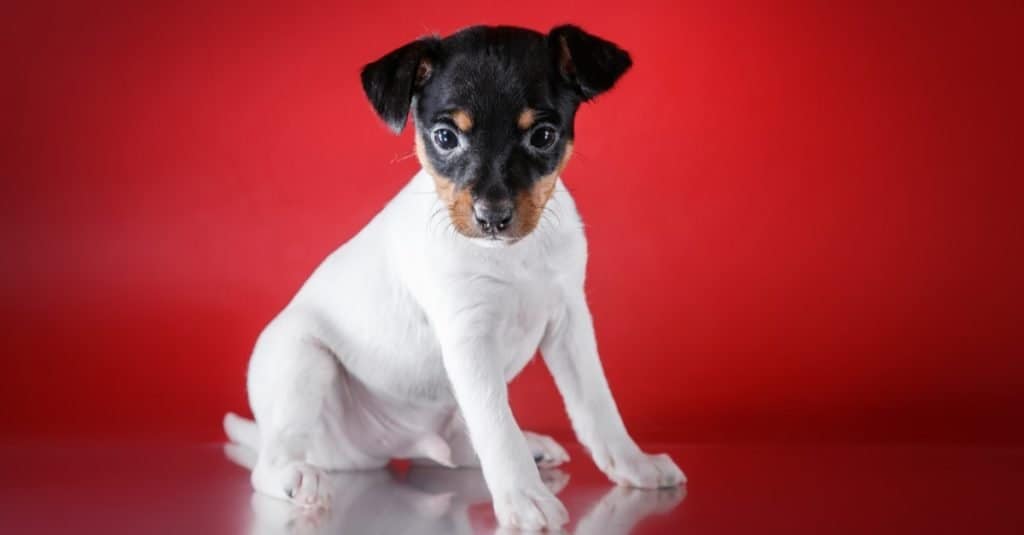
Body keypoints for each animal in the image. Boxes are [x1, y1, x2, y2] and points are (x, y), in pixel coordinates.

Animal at [226, 24, 688, 528]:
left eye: (543, 135)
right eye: (446, 137)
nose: (492, 217)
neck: (510, 257)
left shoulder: (570, 325)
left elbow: (596, 406)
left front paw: (634, 466)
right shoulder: (469, 338)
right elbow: (497, 425)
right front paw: (523, 498)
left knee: (458, 446)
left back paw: (530, 449)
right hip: (302, 360)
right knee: (270, 463)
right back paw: (298, 478)